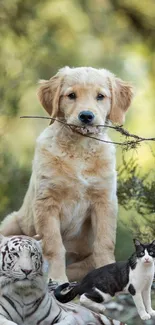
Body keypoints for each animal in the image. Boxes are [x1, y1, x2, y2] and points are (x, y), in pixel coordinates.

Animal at [0, 66, 133, 280]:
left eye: (100, 96)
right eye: (71, 95)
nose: (86, 116)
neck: (79, 149)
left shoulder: (104, 201)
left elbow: (104, 244)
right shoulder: (46, 202)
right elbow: (53, 246)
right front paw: (56, 277)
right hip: (10, 222)